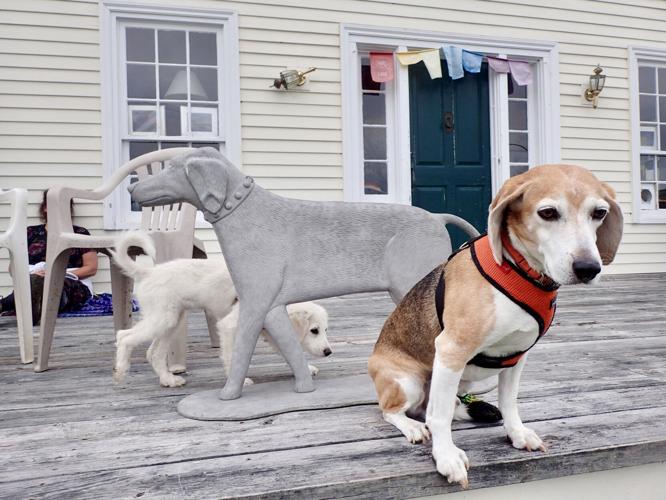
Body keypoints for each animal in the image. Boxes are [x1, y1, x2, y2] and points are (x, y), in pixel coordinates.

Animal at [368, 166, 624, 486]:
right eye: (548, 213)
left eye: (599, 212)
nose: (588, 268)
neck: (520, 270)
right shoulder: (451, 349)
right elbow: (439, 416)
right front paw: (446, 456)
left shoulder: (516, 356)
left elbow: (509, 402)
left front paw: (517, 434)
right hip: (408, 381)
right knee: (397, 411)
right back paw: (413, 426)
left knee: (432, 407)